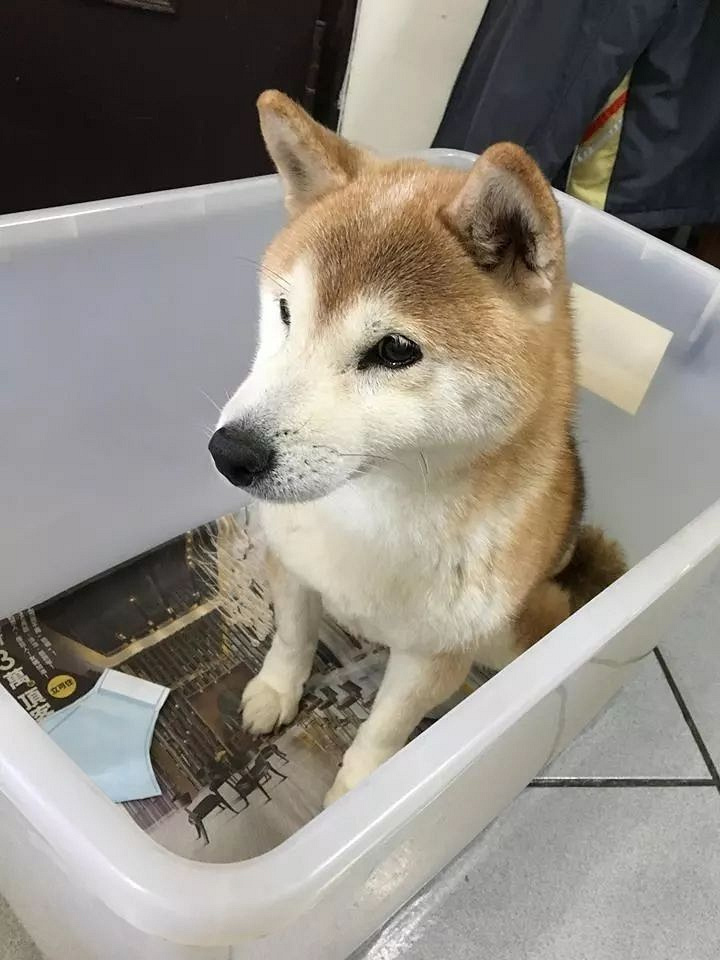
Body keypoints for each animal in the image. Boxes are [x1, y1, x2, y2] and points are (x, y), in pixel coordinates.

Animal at [208, 92, 624, 804]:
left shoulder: (432, 654)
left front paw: (355, 796)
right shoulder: (292, 566)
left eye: (395, 350)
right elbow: (291, 640)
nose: (230, 452)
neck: (370, 512)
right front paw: (274, 692)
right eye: (287, 311)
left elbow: (384, 730)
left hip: (516, 627)